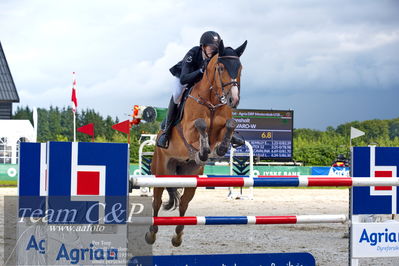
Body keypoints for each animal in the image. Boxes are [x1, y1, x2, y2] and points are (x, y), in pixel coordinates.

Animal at [147, 40, 247, 247]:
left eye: (240, 68)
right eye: (221, 67)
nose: (233, 99)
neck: (211, 100)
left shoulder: (222, 128)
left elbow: (231, 124)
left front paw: (220, 148)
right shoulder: (188, 131)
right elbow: (200, 125)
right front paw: (203, 151)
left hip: (191, 176)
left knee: (184, 203)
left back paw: (177, 237)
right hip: (161, 172)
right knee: (157, 202)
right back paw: (151, 234)